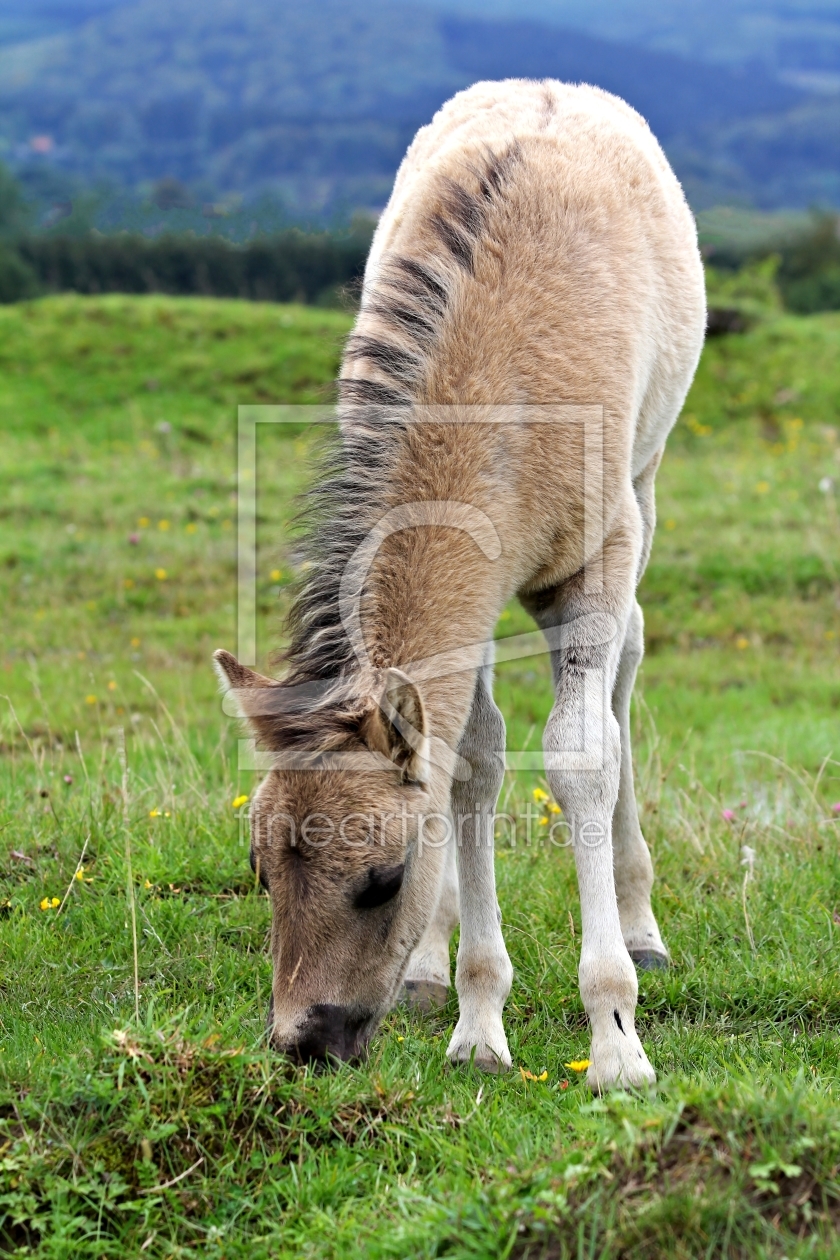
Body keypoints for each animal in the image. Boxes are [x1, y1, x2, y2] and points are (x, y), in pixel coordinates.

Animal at [214, 78, 705, 1093]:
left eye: (382, 880)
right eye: (260, 871)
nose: (304, 1041)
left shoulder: (597, 557)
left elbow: (581, 754)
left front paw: (616, 1040)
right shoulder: (472, 605)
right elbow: (473, 760)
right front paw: (479, 1021)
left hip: (646, 482)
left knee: (628, 672)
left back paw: (641, 926)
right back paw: (431, 971)